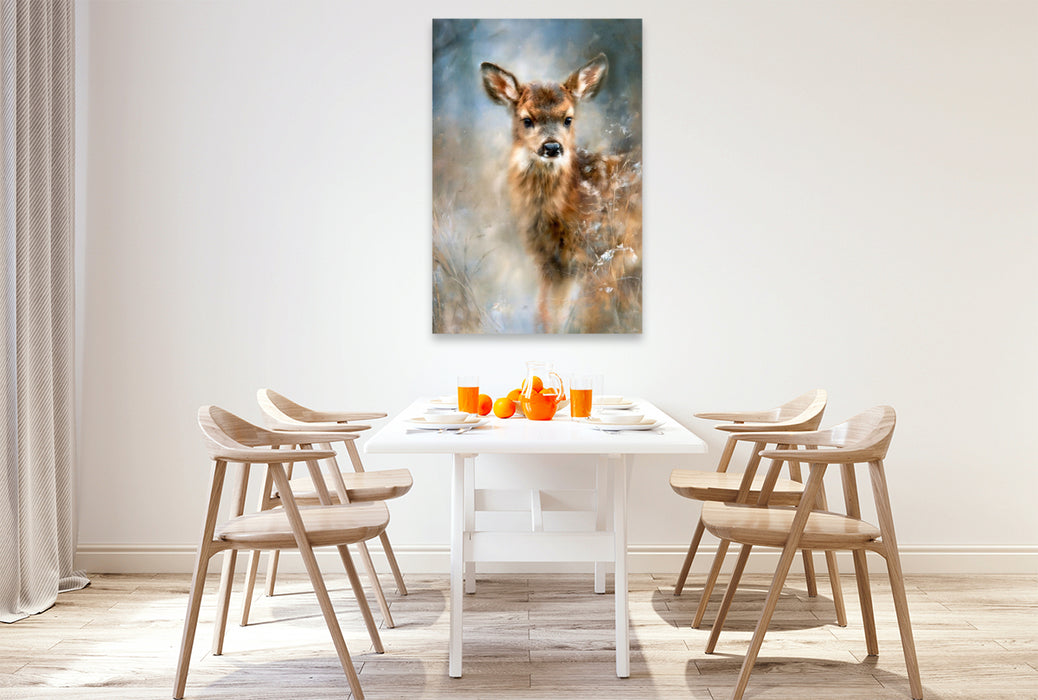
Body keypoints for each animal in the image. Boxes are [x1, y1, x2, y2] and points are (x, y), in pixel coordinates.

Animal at [481, 53, 642, 333]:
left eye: (568, 119)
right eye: (527, 120)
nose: (552, 147)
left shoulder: (601, 255)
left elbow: (591, 316)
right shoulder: (552, 265)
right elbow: (548, 314)